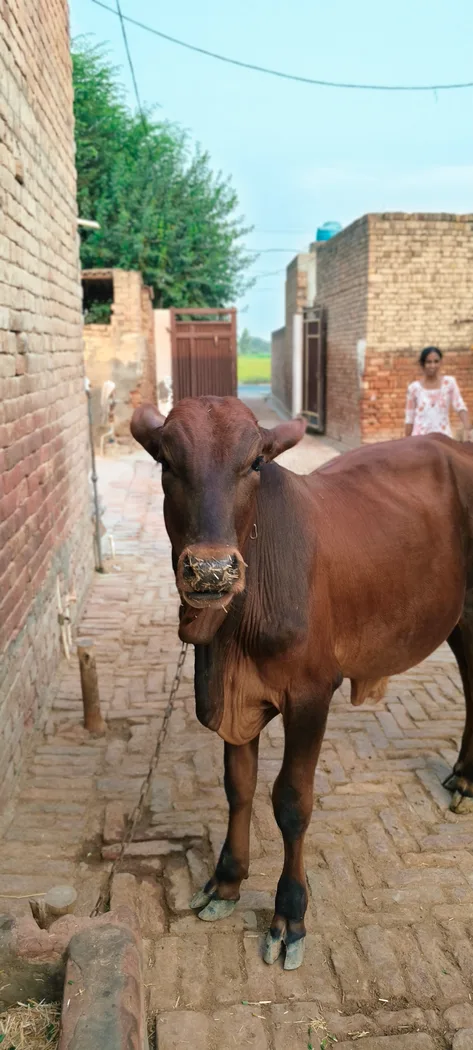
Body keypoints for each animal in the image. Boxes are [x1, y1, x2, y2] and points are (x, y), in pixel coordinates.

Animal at [131, 395, 473, 970]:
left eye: (255, 463)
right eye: (166, 462)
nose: (212, 571)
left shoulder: (312, 694)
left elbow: (291, 802)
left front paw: (289, 914)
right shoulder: (235, 701)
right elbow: (239, 786)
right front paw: (226, 881)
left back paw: (466, 778)